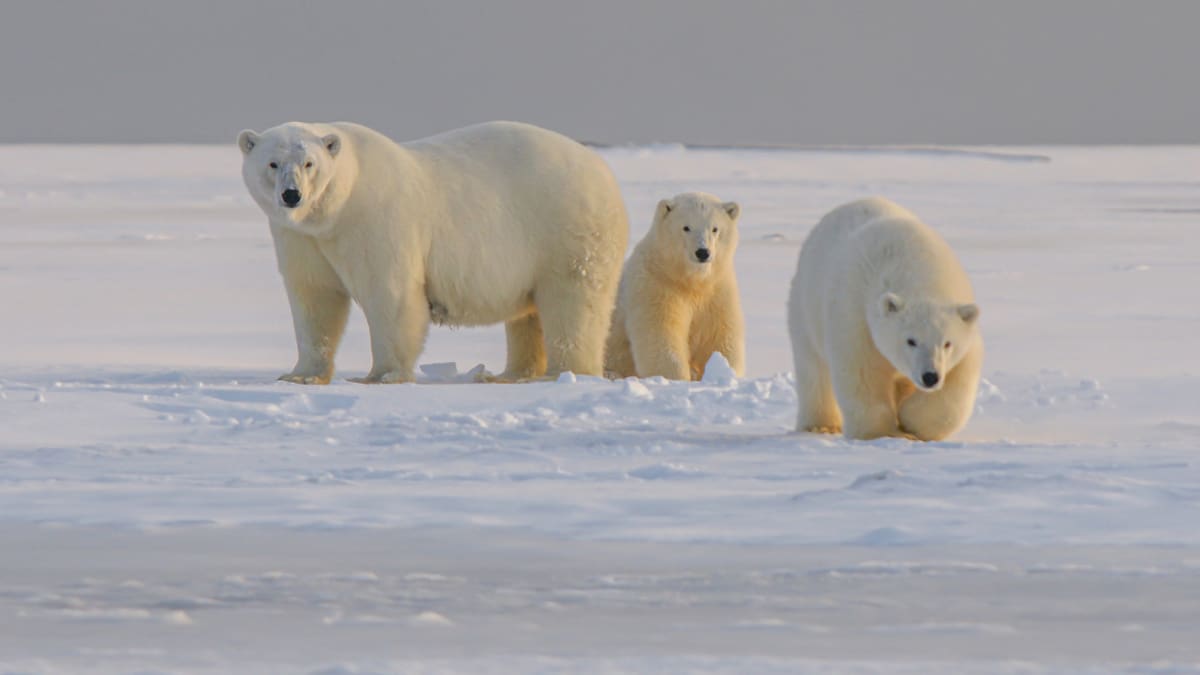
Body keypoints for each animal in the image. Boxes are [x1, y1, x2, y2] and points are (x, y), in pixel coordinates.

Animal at [237, 121, 629, 384]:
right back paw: (510, 374)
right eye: (272, 163)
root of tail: (603, 170)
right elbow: (314, 298)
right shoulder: (301, 237)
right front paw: (300, 375)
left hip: (565, 230)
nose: (292, 195)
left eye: (309, 164)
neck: (337, 209)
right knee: (528, 315)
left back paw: (565, 372)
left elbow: (391, 295)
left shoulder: (377, 220)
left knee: (572, 304)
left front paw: (382, 375)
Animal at [605, 192, 744, 380]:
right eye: (686, 227)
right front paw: (677, 377)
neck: (689, 280)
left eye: (715, 228)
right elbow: (661, 335)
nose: (702, 252)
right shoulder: (656, 285)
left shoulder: (717, 290)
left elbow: (718, 335)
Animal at [787, 197, 982, 441]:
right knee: (813, 369)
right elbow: (862, 373)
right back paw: (820, 425)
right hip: (805, 307)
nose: (930, 377)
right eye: (911, 340)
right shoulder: (856, 315)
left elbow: (958, 382)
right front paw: (882, 432)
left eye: (947, 343)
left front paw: (911, 422)